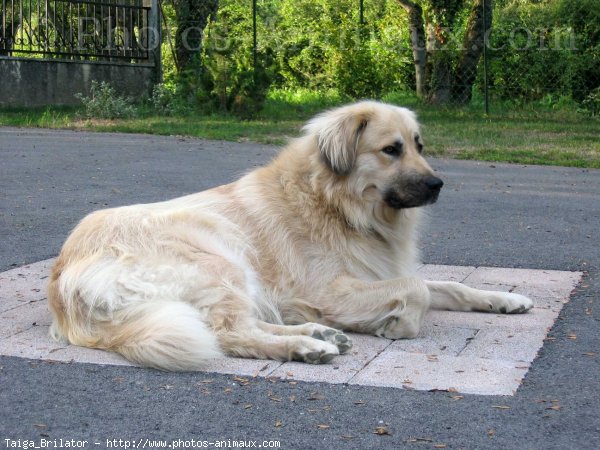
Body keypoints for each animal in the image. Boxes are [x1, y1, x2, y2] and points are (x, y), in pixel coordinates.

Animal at [48, 102, 536, 370]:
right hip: (220, 257)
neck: (336, 203)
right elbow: (416, 288)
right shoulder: (328, 289)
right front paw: (397, 325)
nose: (437, 185)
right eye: (391, 150)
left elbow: (446, 284)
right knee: (231, 334)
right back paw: (307, 347)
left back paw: (319, 334)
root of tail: (63, 282)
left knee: (244, 322)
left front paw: (505, 299)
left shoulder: (377, 270)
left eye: (419, 145)